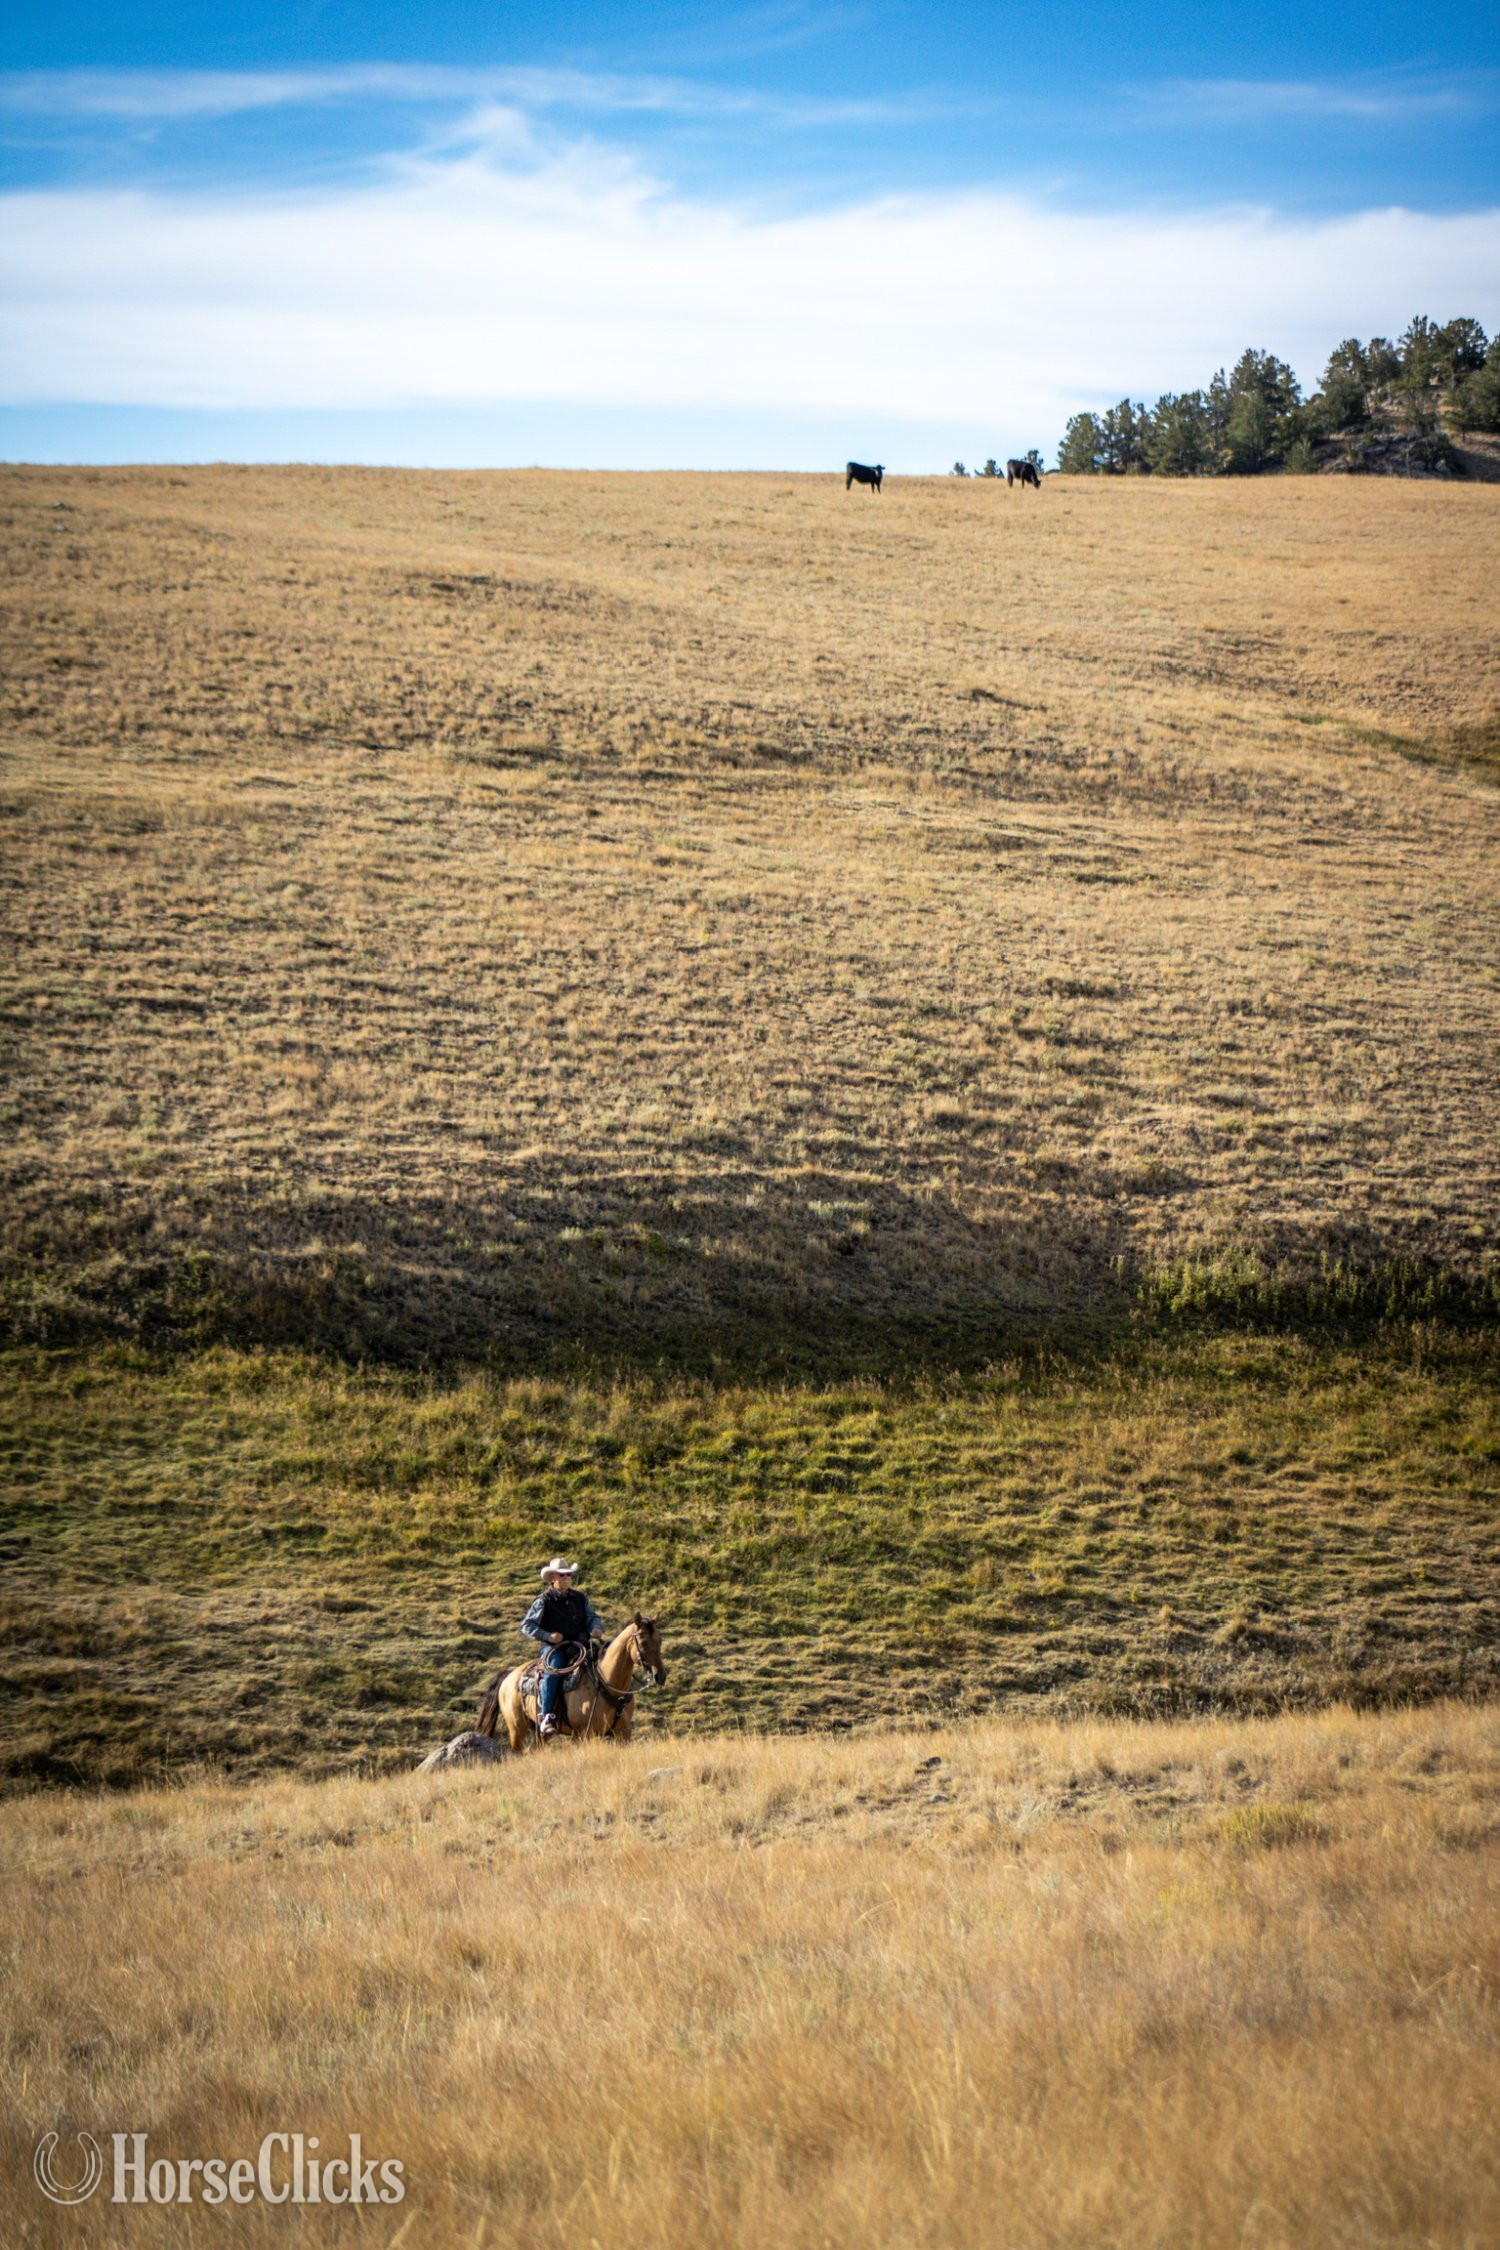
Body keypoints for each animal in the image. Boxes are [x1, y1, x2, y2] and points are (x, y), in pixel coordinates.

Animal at [476, 1615, 667, 1751]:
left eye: (660, 1640)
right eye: (643, 1641)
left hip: (539, 1732)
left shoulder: (623, 1734)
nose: (660, 1676)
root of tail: (510, 1675)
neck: (606, 1684)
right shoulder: (585, 1735)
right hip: (517, 1729)